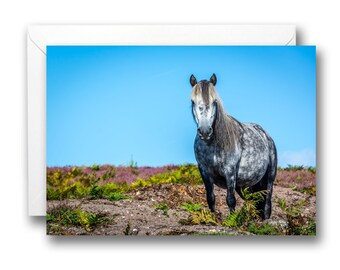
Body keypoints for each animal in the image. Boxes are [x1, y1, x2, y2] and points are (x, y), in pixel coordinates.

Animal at [190, 74, 278, 219]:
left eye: (214, 101)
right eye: (193, 102)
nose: (205, 131)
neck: (212, 145)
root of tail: (266, 135)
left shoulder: (230, 172)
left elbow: (230, 200)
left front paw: (232, 220)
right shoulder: (204, 171)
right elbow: (210, 198)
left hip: (269, 179)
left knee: (266, 204)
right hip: (245, 186)